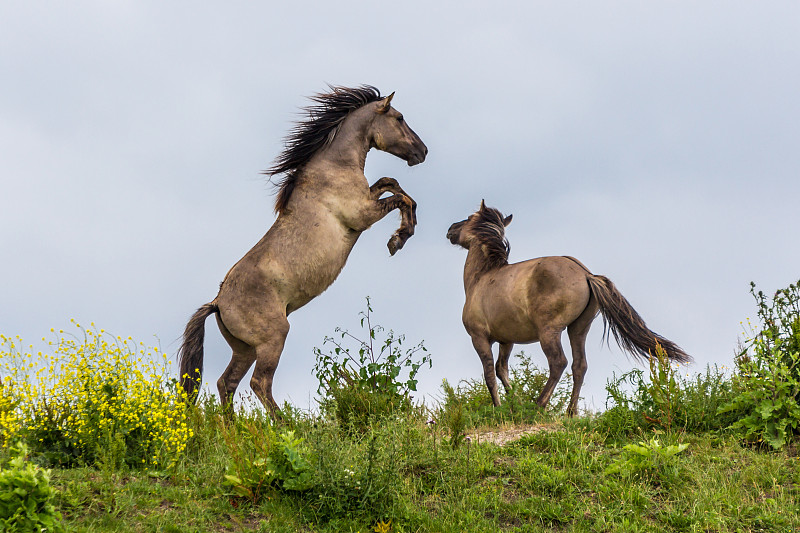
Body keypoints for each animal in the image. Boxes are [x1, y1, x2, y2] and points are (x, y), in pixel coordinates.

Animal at [179, 86, 428, 412]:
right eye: (399, 118)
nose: (422, 151)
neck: (332, 169)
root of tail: (218, 302)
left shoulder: (368, 198)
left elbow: (391, 183)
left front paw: (402, 232)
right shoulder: (362, 215)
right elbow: (400, 198)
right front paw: (398, 238)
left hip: (244, 349)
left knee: (227, 383)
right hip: (273, 340)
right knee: (259, 383)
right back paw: (287, 422)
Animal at [446, 202, 692, 414]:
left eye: (468, 217)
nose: (450, 229)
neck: (482, 277)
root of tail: (586, 274)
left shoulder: (479, 337)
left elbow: (489, 374)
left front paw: (499, 410)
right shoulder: (507, 340)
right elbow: (502, 370)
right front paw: (515, 406)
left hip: (549, 331)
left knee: (558, 363)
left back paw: (539, 406)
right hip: (578, 329)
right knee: (579, 365)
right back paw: (570, 412)